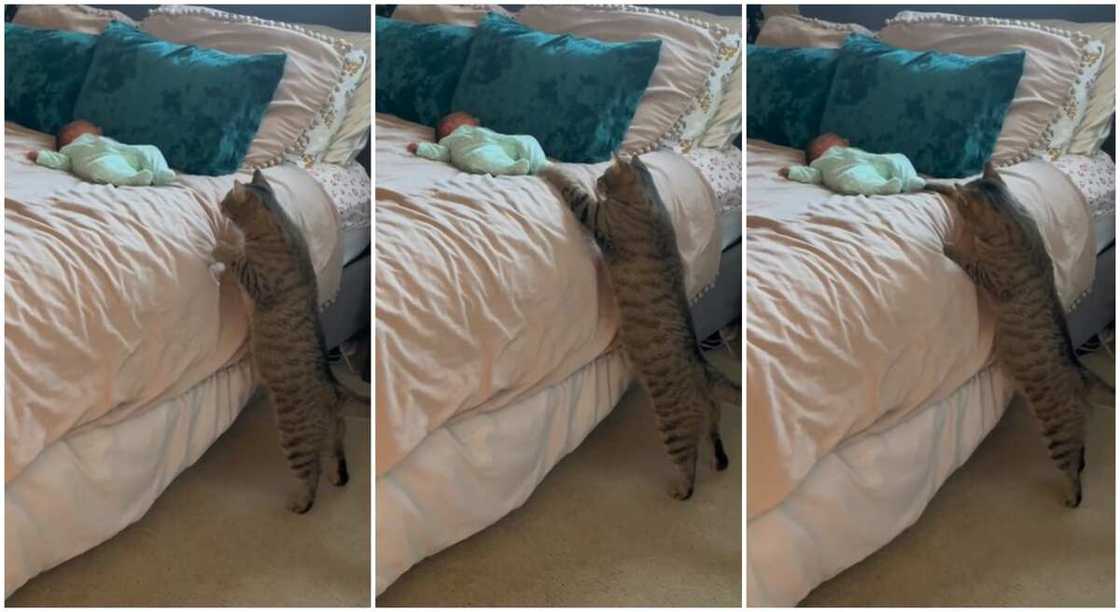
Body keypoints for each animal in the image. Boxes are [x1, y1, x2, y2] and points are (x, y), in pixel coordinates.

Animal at [210, 169, 349, 511]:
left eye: (227, 199)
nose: (218, 203)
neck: (279, 221)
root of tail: (333, 391)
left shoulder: (256, 280)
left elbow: (236, 257)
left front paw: (222, 245)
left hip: (293, 436)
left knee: (311, 473)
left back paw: (300, 503)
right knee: (332, 452)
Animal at [537, 154, 739, 497]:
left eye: (604, 175)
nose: (598, 181)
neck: (649, 198)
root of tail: (705, 368)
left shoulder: (595, 215)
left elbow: (568, 185)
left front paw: (549, 166)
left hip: (673, 426)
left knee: (689, 466)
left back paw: (679, 490)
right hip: (711, 415)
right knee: (715, 439)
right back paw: (717, 459)